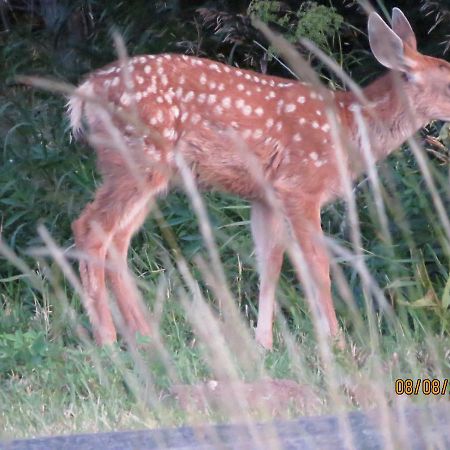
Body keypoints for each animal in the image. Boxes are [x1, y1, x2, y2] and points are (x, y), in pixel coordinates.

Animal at [68, 8, 450, 350]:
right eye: (448, 83)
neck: (350, 126)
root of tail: (86, 90)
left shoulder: (266, 195)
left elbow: (270, 262)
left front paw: (264, 342)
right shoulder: (300, 185)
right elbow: (317, 265)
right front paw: (338, 342)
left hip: (143, 172)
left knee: (117, 239)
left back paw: (144, 335)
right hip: (136, 160)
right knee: (89, 228)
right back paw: (107, 339)